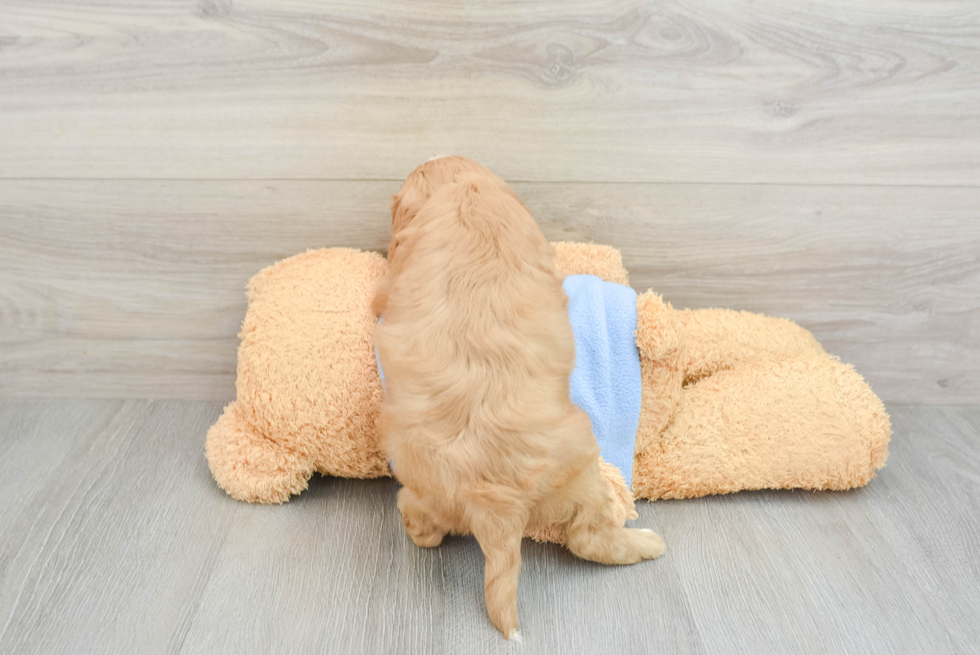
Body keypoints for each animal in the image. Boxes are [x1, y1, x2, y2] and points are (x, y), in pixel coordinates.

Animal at [376, 156, 668, 640]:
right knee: (589, 537)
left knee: (422, 522)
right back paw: (646, 543)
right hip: (583, 470)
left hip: (427, 485)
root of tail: (497, 506)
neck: (463, 189)